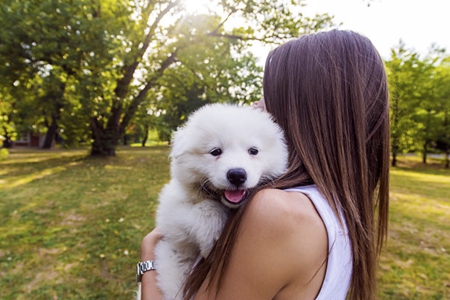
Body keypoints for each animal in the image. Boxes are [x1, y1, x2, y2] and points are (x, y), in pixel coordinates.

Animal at [155, 102, 288, 298]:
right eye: (215, 151)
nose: (237, 175)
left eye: (253, 151)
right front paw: (211, 241)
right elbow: (204, 208)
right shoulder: (169, 210)